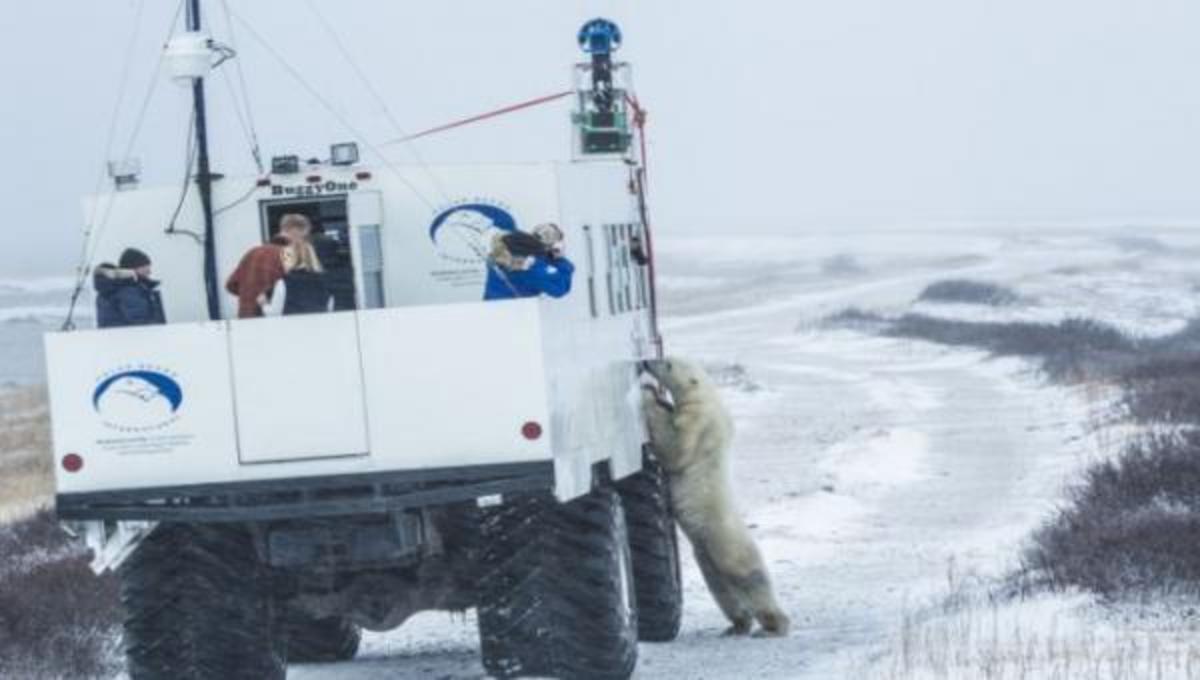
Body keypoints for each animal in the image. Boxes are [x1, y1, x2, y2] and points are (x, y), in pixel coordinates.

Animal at [643, 357, 792, 638]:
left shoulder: (697, 422)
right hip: (707, 555)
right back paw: (737, 625)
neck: (709, 396)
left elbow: (675, 448)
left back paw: (774, 626)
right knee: (721, 588)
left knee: (749, 578)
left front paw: (649, 396)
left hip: (726, 542)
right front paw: (661, 400)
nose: (646, 362)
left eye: (667, 364)